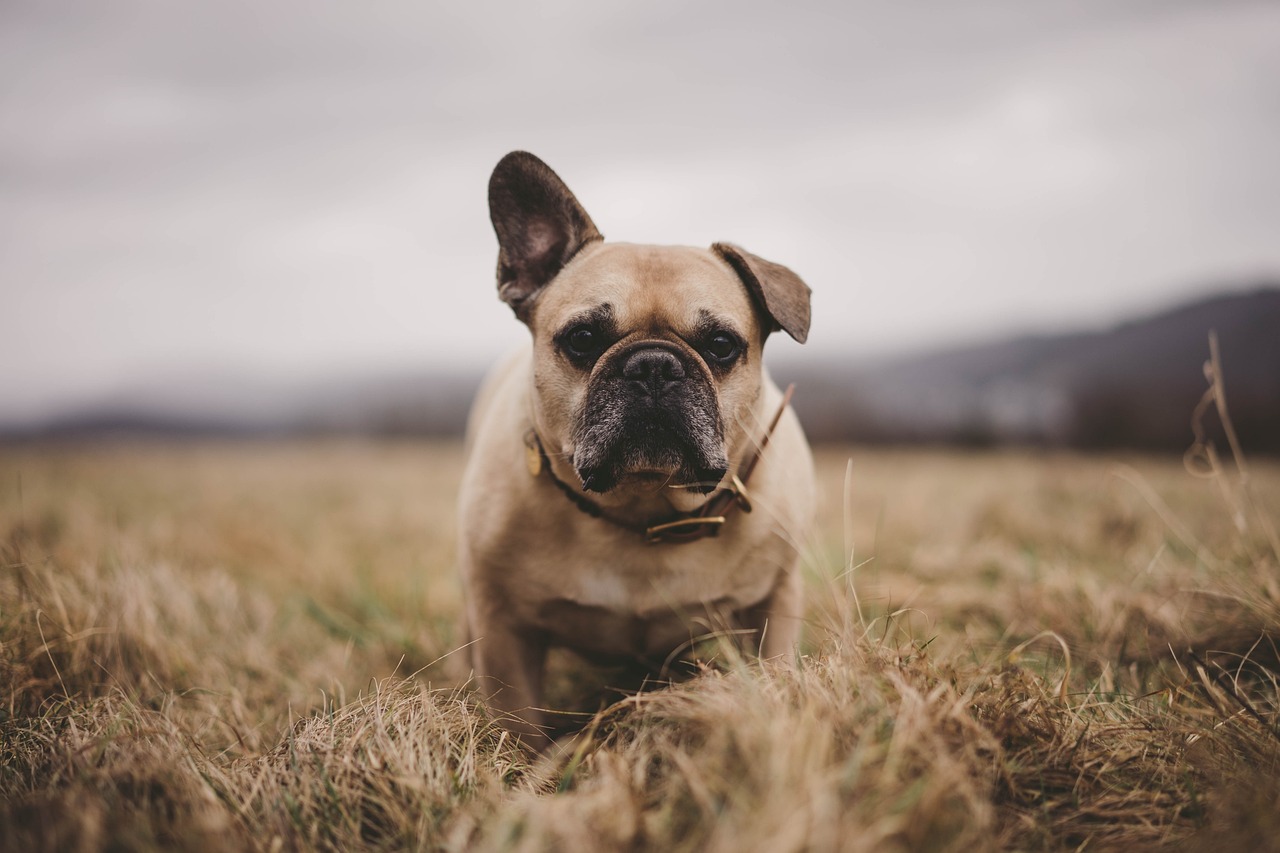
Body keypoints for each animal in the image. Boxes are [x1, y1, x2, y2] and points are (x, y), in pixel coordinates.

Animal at [460, 153, 814, 742]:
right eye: (582, 339)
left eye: (722, 345)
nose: (654, 365)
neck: (643, 507)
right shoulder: (504, 627)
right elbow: (519, 725)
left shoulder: (774, 604)